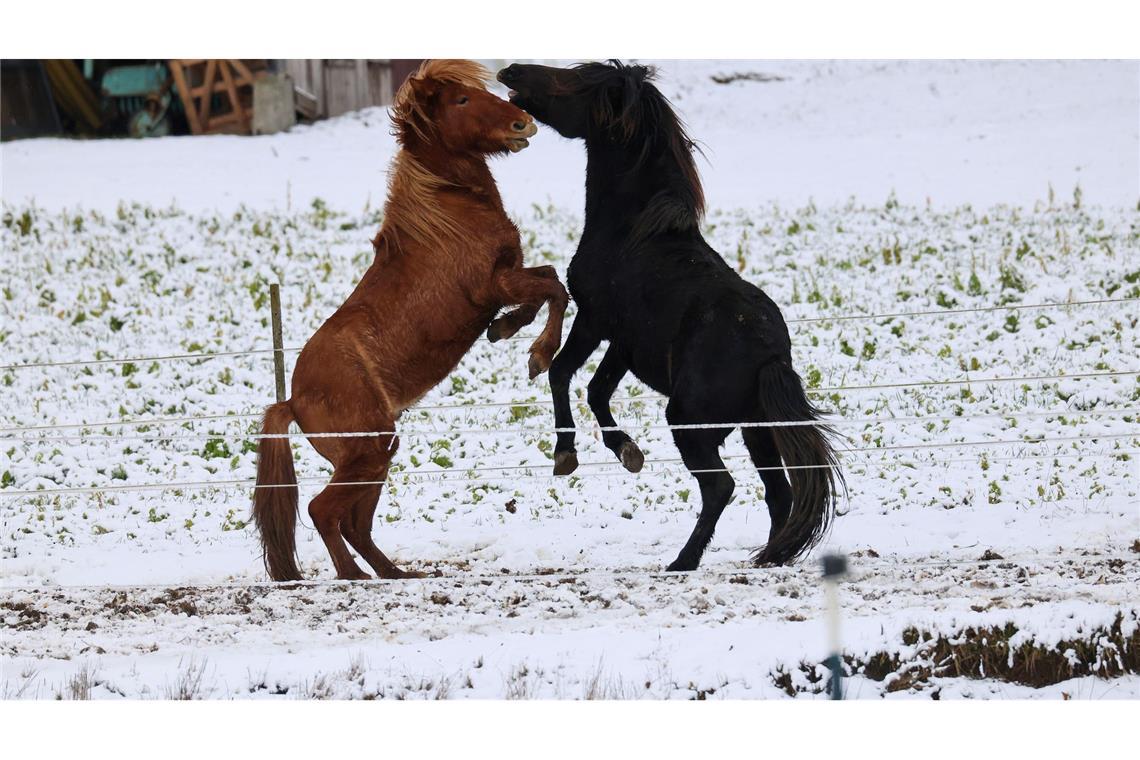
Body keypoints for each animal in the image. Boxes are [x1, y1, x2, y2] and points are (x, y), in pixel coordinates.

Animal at [254, 60, 565, 583]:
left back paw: (397, 575)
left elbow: (549, 280)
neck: (447, 217)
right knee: (324, 511)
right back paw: (355, 577)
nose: (523, 123)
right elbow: (556, 290)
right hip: (367, 451)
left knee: (355, 523)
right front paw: (538, 355)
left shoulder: (508, 278)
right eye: (461, 100)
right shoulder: (495, 285)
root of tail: (292, 401)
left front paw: (505, 330)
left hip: (379, 454)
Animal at [501, 60, 848, 569]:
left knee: (722, 487)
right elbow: (597, 390)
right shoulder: (625, 343)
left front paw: (566, 455)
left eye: (579, 81)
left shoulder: (594, 320)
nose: (512, 72)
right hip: (757, 431)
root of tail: (771, 355)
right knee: (778, 493)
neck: (634, 232)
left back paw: (684, 560)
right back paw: (768, 556)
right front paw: (628, 451)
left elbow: (562, 373)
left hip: (689, 421)